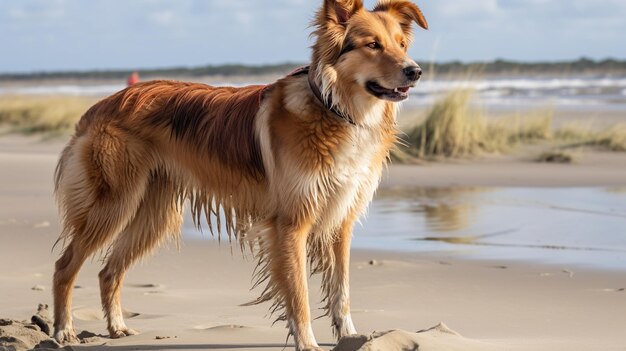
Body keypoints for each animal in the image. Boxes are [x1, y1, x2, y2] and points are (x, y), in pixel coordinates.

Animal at [52, 1, 424, 350]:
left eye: (402, 44)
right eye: (372, 45)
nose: (416, 71)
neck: (333, 107)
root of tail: (101, 105)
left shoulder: (340, 219)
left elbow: (341, 289)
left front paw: (349, 337)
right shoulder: (291, 224)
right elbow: (299, 293)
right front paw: (307, 343)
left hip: (154, 214)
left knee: (109, 270)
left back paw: (116, 327)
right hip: (114, 204)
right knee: (65, 266)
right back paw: (63, 330)